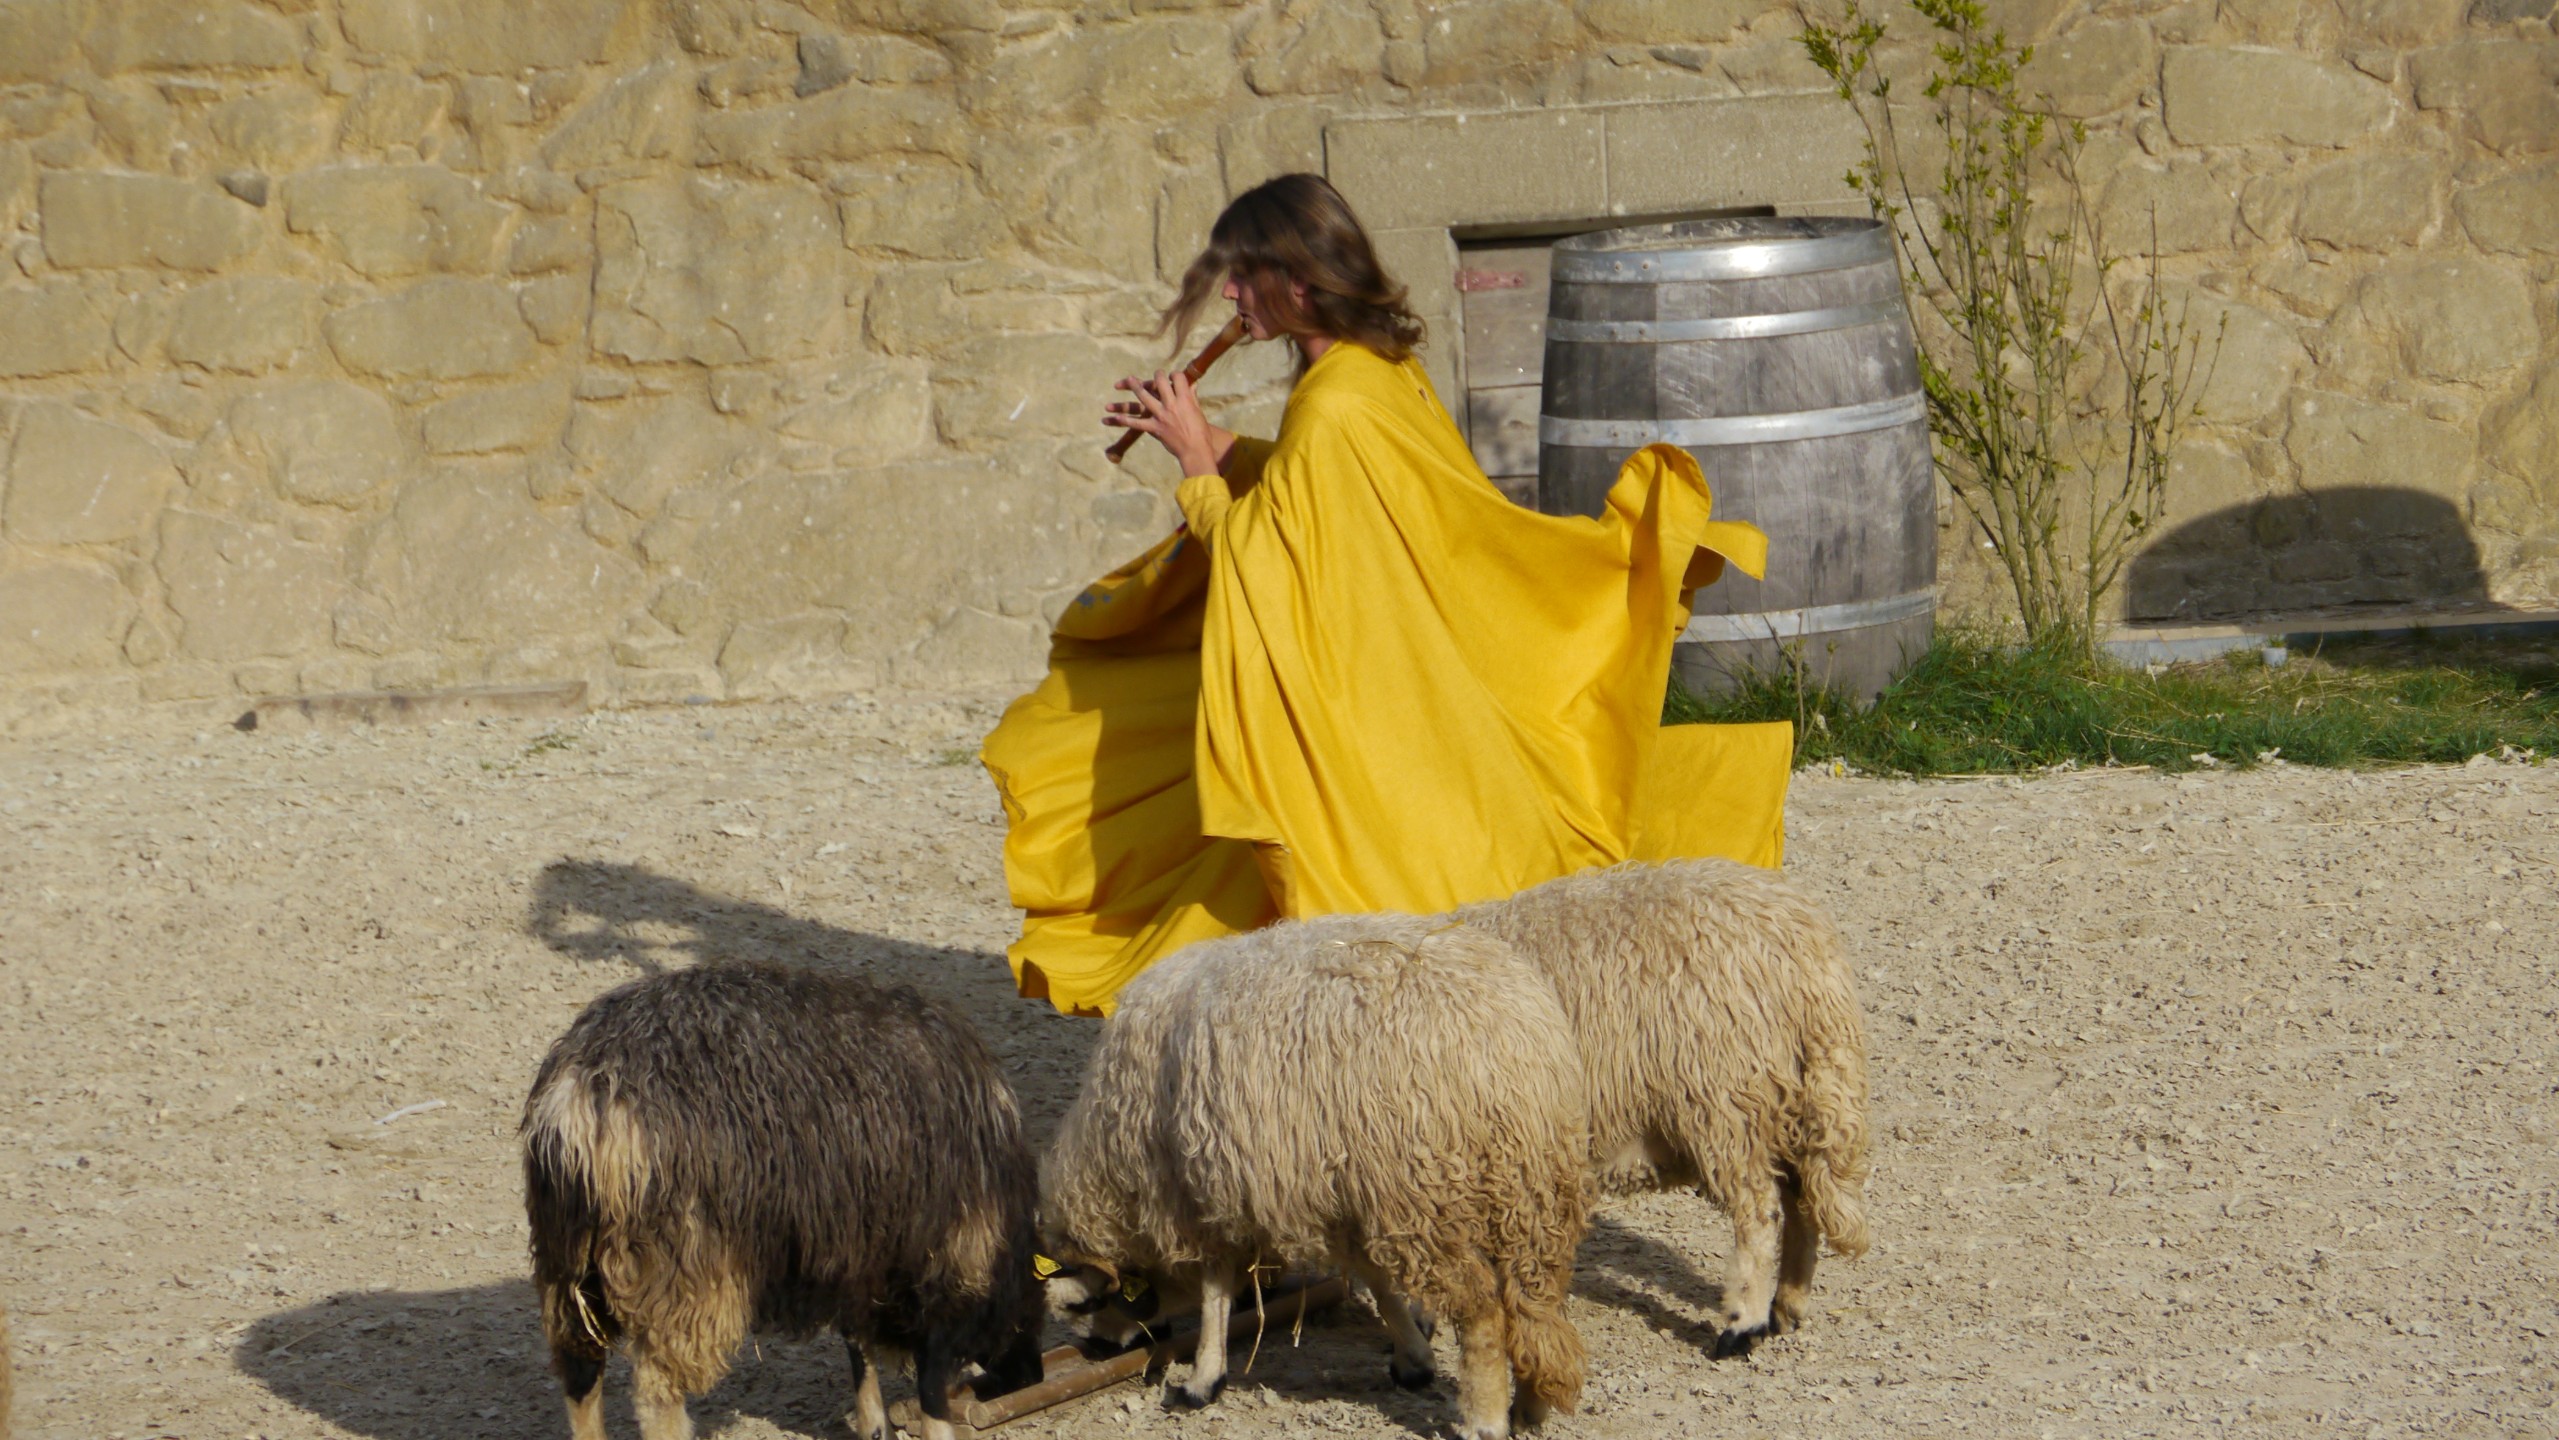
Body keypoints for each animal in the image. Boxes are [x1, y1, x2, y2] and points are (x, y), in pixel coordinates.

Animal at [520, 962, 1046, 1440]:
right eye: (1035, 1297)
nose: (1033, 1375)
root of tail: (579, 1091)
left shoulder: (854, 1251)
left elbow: (858, 1349)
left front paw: (874, 1425)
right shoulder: (944, 1262)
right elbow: (932, 1382)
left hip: (565, 1270)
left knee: (579, 1373)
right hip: (678, 1269)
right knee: (657, 1395)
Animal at [1041, 913, 1594, 1440]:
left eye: (1086, 1302)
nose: (1097, 1351)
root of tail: (1501, 1039)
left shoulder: (1207, 1189)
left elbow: (1216, 1290)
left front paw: (1202, 1380)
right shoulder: (1340, 1198)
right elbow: (1377, 1284)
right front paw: (1413, 1358)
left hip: (1426, 1196)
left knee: (1483, 1311)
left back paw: (1485, 1420)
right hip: (1534, 1186)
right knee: (1537, 1304)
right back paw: (1530, 1405)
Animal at [1456, 856, 1873, 1358]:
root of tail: (1808, 950)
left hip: (1725, 1098)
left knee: (1759, 1210)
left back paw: (1743, 1324)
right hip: (1787, 1096)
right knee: (1802, 1200)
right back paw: (1786, 1308)